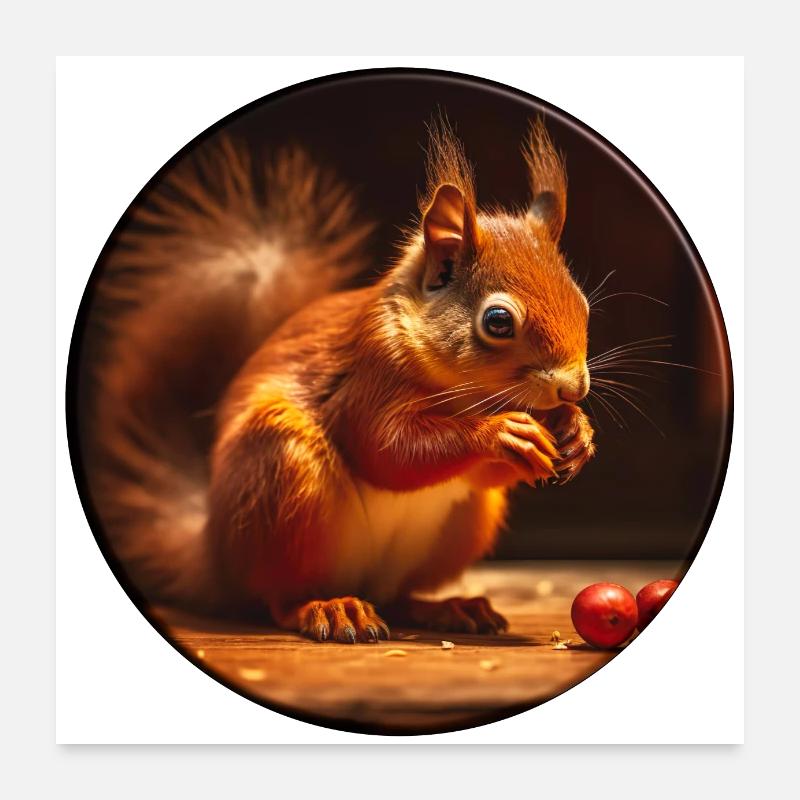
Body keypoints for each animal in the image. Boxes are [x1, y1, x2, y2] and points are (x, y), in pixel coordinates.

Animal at [85, 118, 595, 643]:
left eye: (582, 303)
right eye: (497, 321)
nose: (574, 388)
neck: (466, 394)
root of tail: (215, 555)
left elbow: (477, 473)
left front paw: (575, 430)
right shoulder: (367, 375)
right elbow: (386, 449)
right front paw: (501, 433)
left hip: (460, 526)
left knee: (399, 595)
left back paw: (449, 608)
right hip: (281, 475)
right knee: (277, 595)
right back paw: (329, 608)